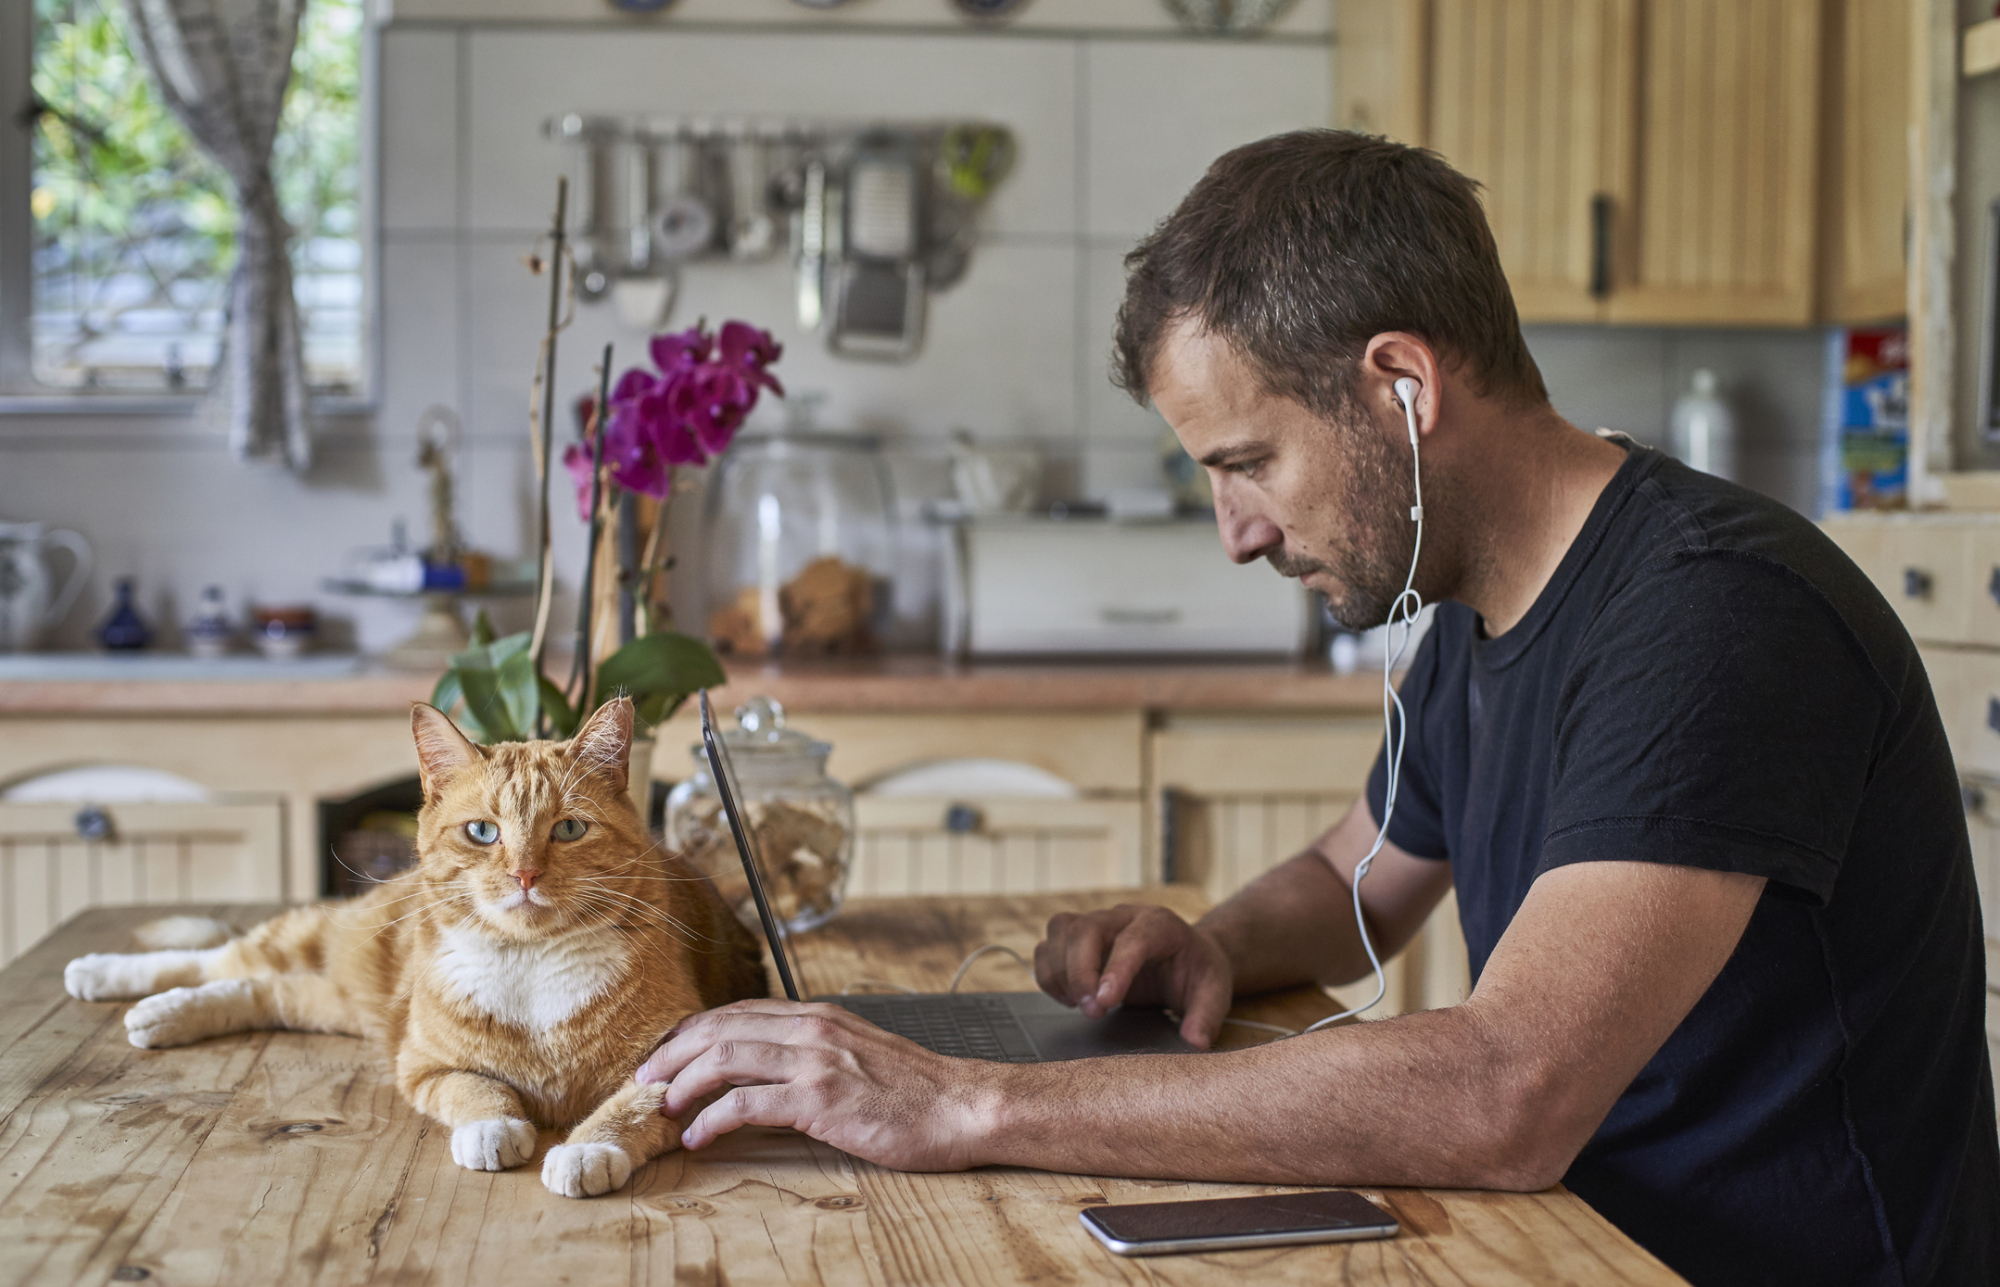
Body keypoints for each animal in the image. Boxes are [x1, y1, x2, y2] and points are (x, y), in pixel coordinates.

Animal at [62, 695, 764, 1199]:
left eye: (568, 829)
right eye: (483, 832)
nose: (525, 875)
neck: (531, 964)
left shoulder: (680, 1067)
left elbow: (626, 1110)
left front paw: (586, 1149)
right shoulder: (423, 1063)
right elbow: (476, 1091)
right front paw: (493, 1129)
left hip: (333, 1005)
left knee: (260, 988)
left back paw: (161, 1014)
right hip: (328, 950)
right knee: (228, 956)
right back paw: (108, 977)